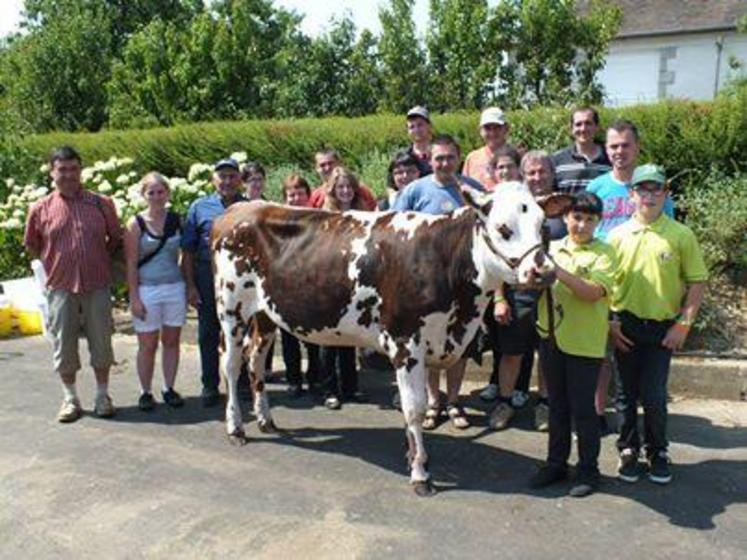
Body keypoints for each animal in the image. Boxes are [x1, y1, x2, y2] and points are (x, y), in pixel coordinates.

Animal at [210, 183, 572, 494]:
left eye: (542, 226)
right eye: (503, 228)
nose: (543, 272)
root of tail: (239, 208)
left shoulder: (432, 342)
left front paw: (414, 455)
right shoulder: (406, 344)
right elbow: (415, 409)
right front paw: (420, 473)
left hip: (264, 315)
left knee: (255, 362)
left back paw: (266, 420)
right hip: (230, 309)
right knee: (230, 365)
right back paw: (236, 428)